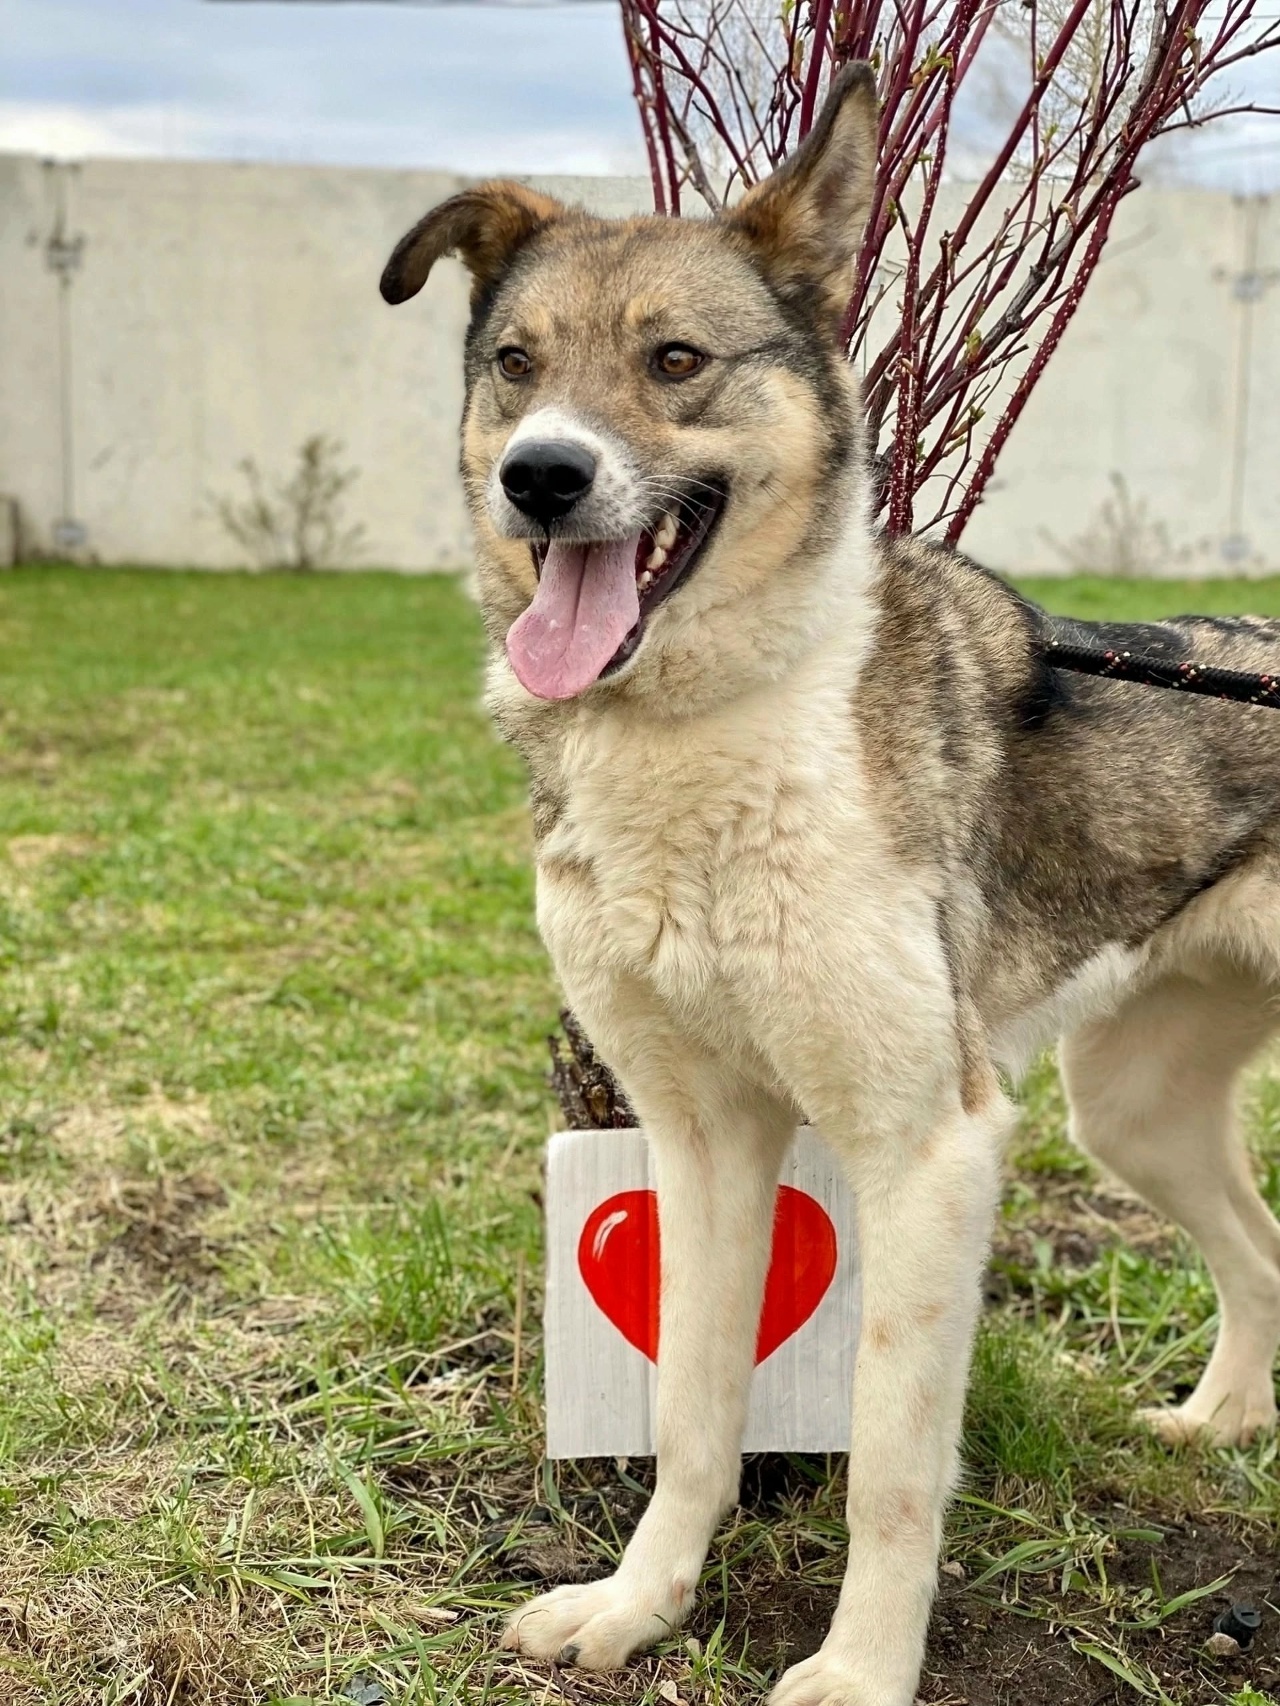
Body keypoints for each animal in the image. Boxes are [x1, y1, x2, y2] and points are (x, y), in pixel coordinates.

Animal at [381, 63, 1280, 1706]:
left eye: (675, 360)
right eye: (516, 365)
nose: (543, 476)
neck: (704, 732)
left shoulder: (928, 1149)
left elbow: (890, 1468)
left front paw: (859, 1671)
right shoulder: (697, 1139)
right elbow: (689, 1410)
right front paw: (638, 1605)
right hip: (1133, 1105)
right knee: (1257, 1252)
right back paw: (1218, 1420)